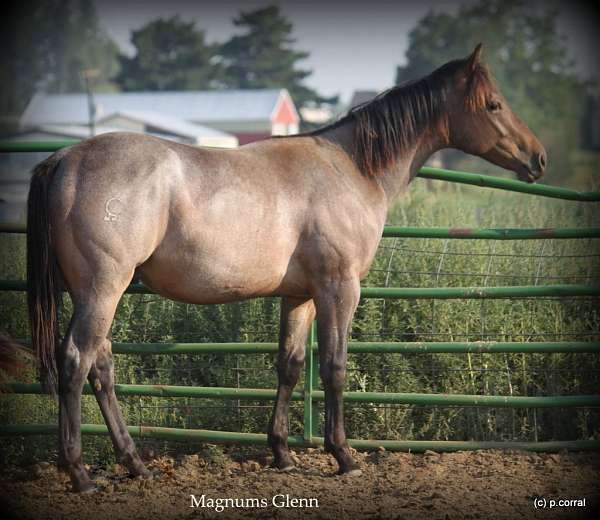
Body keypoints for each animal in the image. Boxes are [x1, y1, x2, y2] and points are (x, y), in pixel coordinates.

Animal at [27, 44, 544, 492]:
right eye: (494, 104)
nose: (538, 157)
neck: (350, 168)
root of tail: (66, 159)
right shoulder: (340, 288)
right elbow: (335, 366)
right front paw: (343, 456)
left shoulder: (300, 295)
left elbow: (290, 365)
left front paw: (282, 453)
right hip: (103, 289)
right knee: (76, 362)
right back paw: (80, 473)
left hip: (94, 293)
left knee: (101, 368)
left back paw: (136, 464)